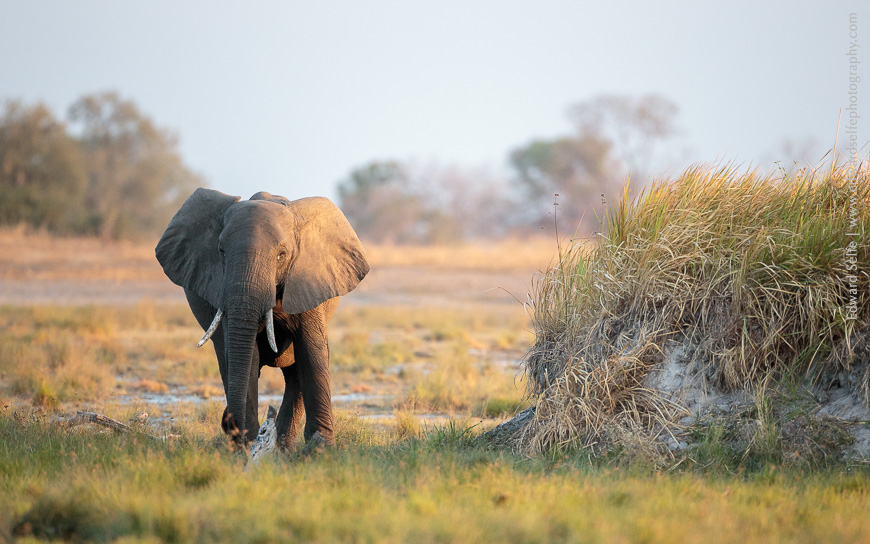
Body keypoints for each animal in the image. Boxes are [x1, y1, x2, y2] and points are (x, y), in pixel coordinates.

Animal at [155, 188, 369, 447]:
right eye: (221, 252)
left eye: (281, 255)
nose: (229, 424)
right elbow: (246, 356)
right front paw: (246, 445)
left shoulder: (308, 281)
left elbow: (311, 349)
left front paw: (320, 448)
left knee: (295, 371)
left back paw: (284, 447)